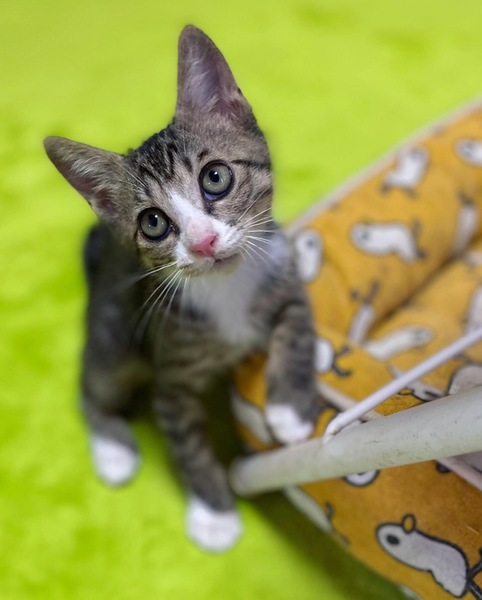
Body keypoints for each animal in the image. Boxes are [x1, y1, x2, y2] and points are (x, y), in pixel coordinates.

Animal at [44, 25, 319, 552]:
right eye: (153, 222)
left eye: (216, 177)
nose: (203, 241)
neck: (226, 290)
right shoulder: (171, 376)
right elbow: (190, 450)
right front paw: (214, 513)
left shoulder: (287, 279)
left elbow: (296, 331)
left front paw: (289, 409)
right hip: (114, 338)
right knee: (91, 384)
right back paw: (112, 450)